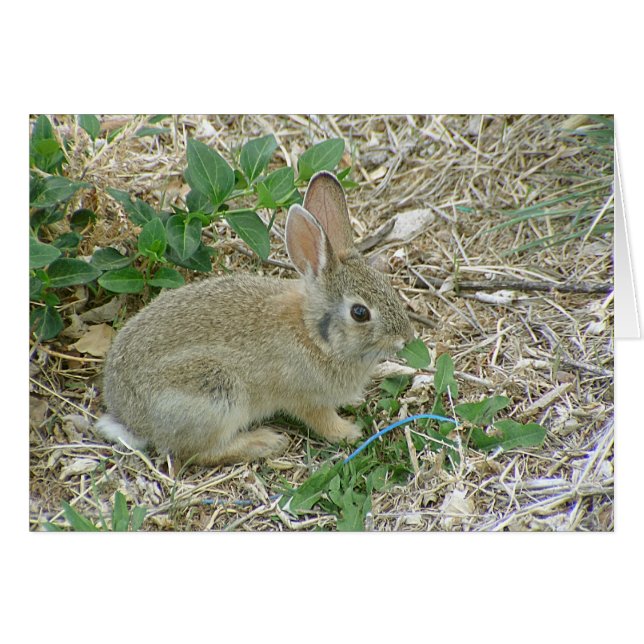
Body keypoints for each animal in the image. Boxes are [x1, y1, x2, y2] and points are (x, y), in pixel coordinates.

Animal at [95, 170, 415, 465]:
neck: (314, 335)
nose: (405, 339)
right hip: (218, 395)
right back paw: (263, 442)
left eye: (385, 283)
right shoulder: (306, 399)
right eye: (360, 313)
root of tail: (131, 420)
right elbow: (321, 420)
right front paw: (349, 432)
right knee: (195, 453)